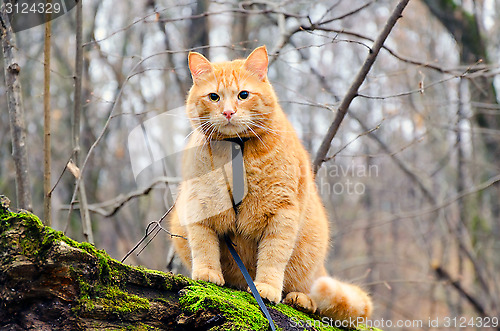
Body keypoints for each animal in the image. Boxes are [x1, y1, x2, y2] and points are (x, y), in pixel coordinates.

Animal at [170, 46, 374, 324]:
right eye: (214, 97)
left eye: (243, 95)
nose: (228, 112)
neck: (236, 147)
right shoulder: (200, 204)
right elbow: (203, 245)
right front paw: (207, 273)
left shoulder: (282, 213)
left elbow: (273, 256)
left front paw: (266, 288)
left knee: (310, 291)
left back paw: (301, 299)